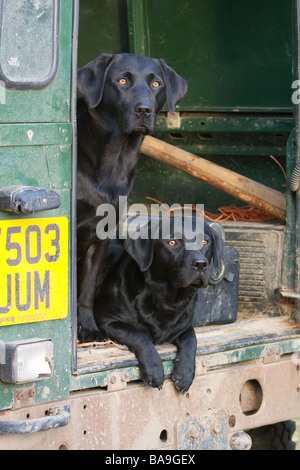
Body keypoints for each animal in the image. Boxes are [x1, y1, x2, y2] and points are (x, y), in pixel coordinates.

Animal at [75, 54, 188, 342]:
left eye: (156, 83)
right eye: (122, 81)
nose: (144, 110)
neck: (114, 157)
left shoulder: (101, 235)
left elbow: (86, 291)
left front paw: (89, 329)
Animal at [94, 218, 225, 394]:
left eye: (205, 241)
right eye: (172, 242)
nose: (200, 264)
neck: (167, 299)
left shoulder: (184, 325)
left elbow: (192, 339)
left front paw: (185, 374)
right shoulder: (106, 320)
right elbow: (138, 335)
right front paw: (154, 370)